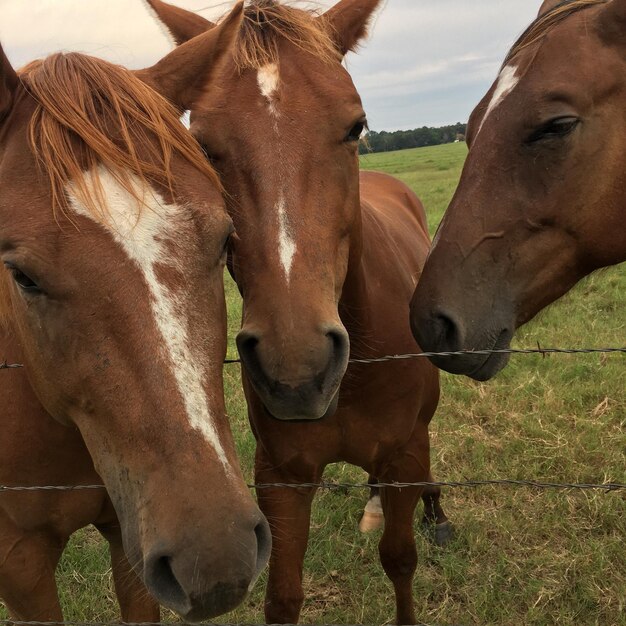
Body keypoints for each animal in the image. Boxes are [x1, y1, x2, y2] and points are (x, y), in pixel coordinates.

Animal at [144, 2, 448, 620]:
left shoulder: (404, 459)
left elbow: (400, 561)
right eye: (202, 145)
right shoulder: (281, 480)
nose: (297, 370)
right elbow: (282, 597)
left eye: (356, 125)